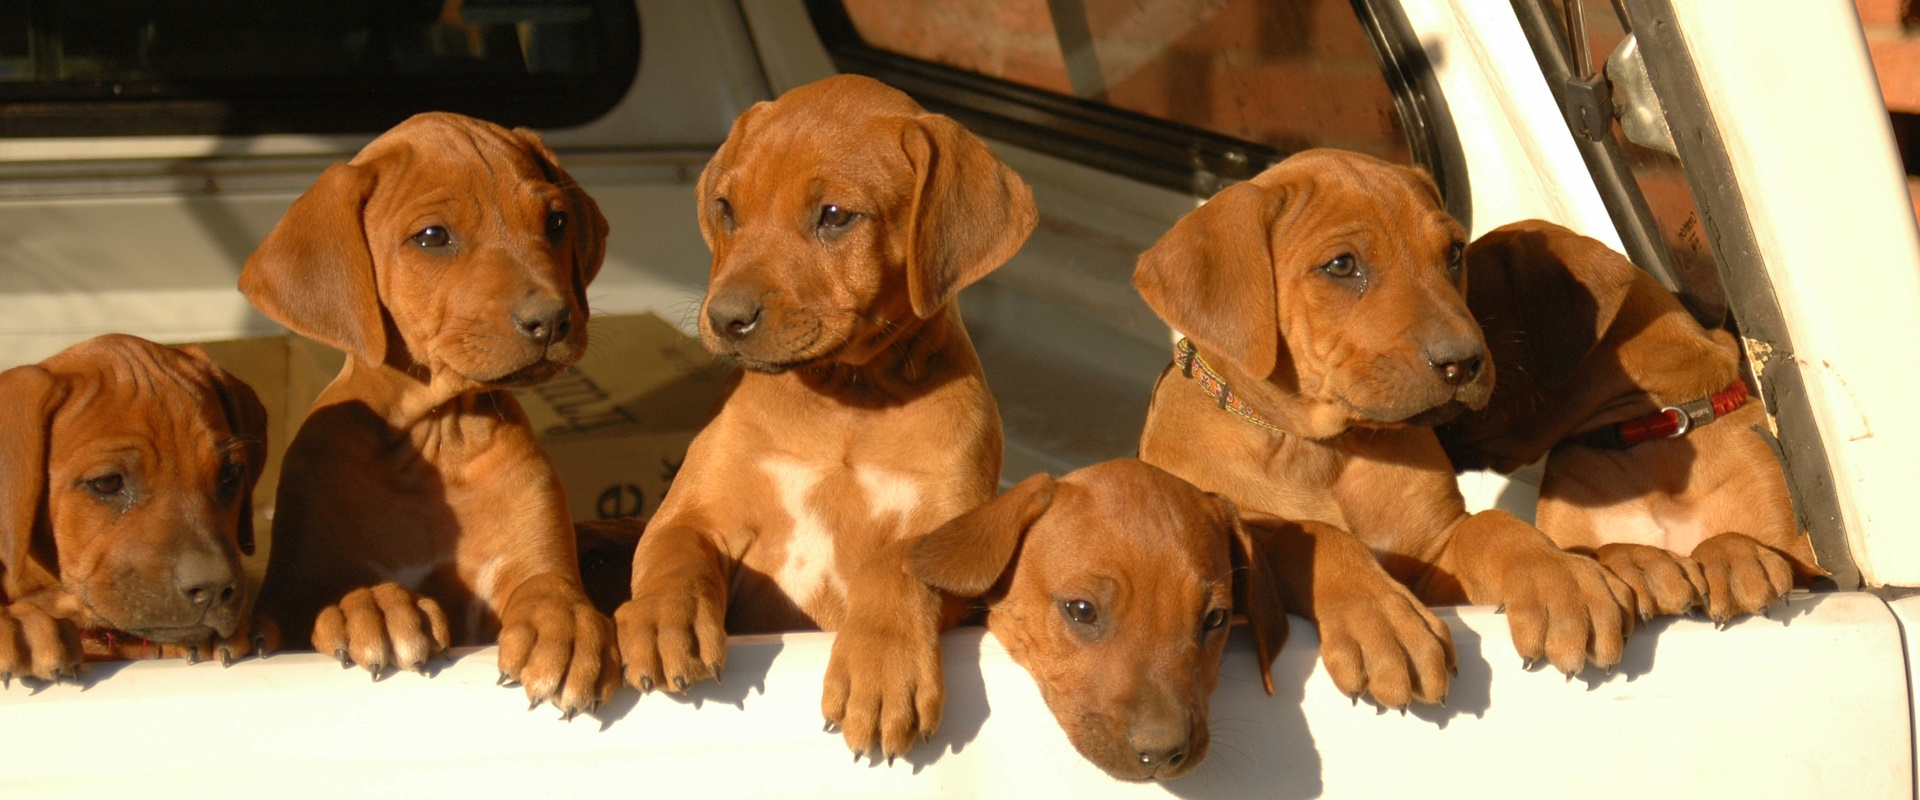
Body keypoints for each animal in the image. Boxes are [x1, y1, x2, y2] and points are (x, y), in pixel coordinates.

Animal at [240, 109, 614, 713]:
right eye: (433, 237)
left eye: (556, 222)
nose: (553, 320)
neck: (436, 439)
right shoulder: (287, 596)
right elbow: (319, 600)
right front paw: (372, 606)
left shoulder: (530, 563)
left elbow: (551, 591)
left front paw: (569, 628)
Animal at [614, 74, 1036, 729]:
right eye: (727, 209)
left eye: (835, 217)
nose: (724, 317)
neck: (846, 401)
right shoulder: (692, 513)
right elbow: (673, 559)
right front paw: (663, 619)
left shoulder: (953, 541)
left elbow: (894, 566)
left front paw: (883, 668)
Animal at [1136, 151, 1635, 698]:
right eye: (1342, 266)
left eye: (1454, 253)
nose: (1465, 362)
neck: (1326, 449)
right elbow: (1307, 535)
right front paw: (1381, 619)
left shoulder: (1435, 559)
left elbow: (1493, 527)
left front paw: (1558, 574)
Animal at [1436, 219, 1820, 621]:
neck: (1646, 430)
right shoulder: (1564, 543)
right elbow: (1595, 553)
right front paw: (1640, 561)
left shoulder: (1810, 566)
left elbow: (1744, 543)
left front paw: (1732, 554)